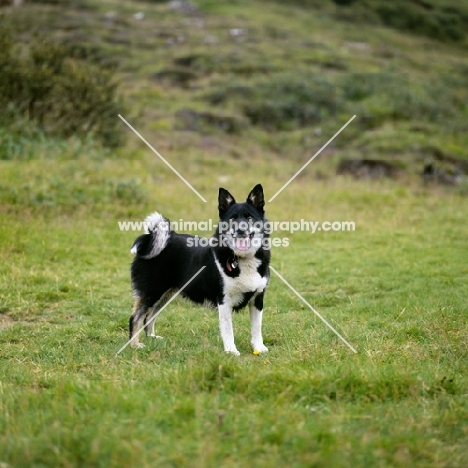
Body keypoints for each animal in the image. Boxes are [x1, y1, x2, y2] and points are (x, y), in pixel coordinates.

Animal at [130, 183, 272, 354]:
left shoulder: (257, 299)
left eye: (249, 217)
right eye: (232, 218)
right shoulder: (224, 300)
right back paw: (134, 344)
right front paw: (231, 351)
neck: (242, 258)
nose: (240, 230)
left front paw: (259, 348)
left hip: (165, 294)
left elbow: (257, 328)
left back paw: (152, 337)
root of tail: (150, 238)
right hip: (152, 291)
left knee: (150, 316)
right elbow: (228, 330)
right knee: (136, 317)